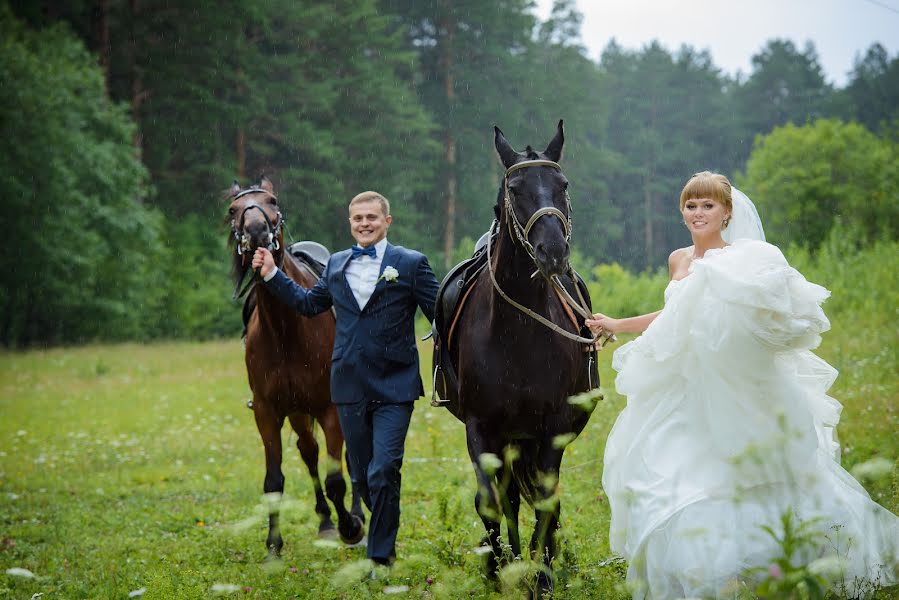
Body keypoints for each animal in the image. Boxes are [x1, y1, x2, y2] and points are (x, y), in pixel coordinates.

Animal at [227, 177, 364, 556]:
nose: (256, 230)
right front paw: (274, 545)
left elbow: (337, 480)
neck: (287, 327)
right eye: (233, 209)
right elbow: (274, 481)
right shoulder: (267, 411)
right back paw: (326, 521)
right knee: (309, 452)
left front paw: (351, 527)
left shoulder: (331, 409)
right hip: (299, 413)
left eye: (272, 201)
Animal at [438, 120, 596, 596]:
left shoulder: (553, 431)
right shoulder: (481, 429)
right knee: (506, 497)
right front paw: (498, 570)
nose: (553, 251)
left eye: (563, 185)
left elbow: (545, 502)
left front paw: (541, 578)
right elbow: (489, 502)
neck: (520, 332)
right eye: (515, 188)